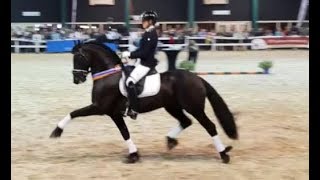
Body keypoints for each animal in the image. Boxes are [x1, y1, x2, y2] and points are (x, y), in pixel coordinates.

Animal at [50, 41, 238, 164]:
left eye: (78, 57)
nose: (77, 79)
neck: (107, 75)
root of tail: (197, 78)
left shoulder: (101, 108)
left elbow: (74, 113)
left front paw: (57, 131)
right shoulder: (114, 113)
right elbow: (124, 132)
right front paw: (134, 155)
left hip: (194, 108)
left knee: (210, 126)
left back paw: (223, 155)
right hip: (172, 107)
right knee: (186, 121)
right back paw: (170, 141)